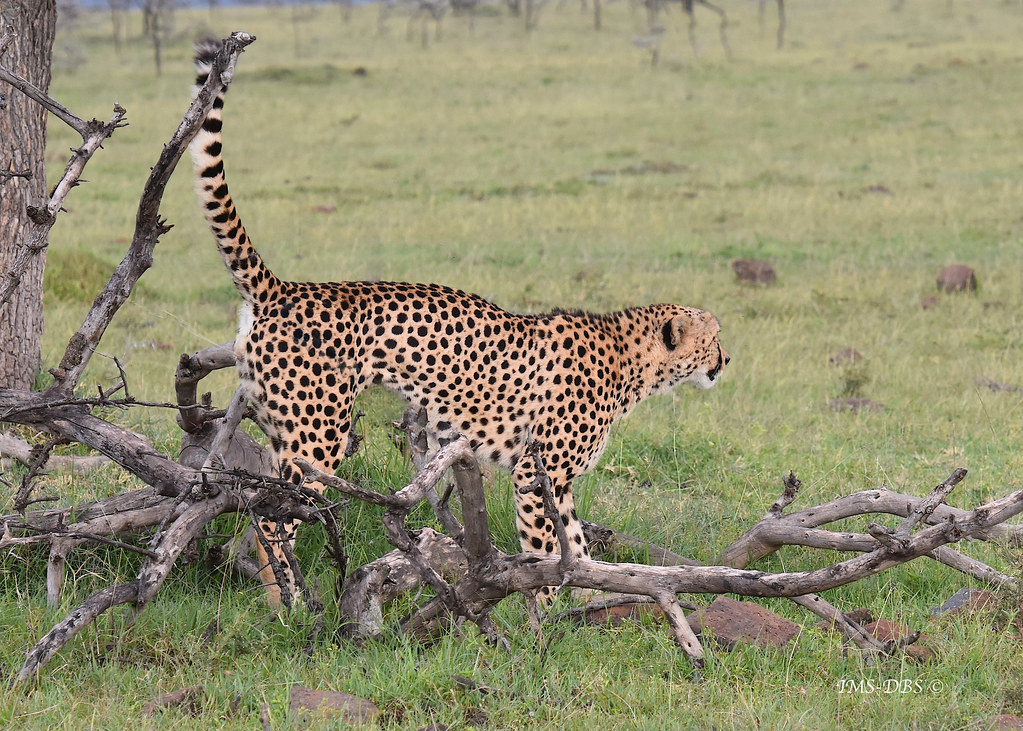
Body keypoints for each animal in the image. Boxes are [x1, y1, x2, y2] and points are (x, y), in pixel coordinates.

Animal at [189, 40, 729, 608]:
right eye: (713, 338)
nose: (726, 360)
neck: (628, 360)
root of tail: (286, 288)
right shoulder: (537, 473)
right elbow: (546, 549)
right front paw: (550, 613)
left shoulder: (555, 479)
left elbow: (576, 547)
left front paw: (591, 601)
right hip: (319, 434)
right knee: (275, 518)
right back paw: (293, 604)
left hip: (283, 429)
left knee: (256, 510)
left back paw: (278, 599)